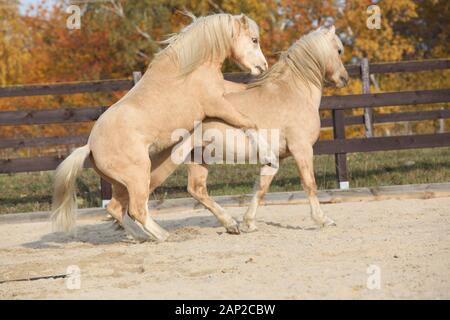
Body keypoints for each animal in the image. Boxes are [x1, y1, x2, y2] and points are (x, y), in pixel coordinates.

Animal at [52, 13, 270, 241]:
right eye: (254, 39)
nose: (263, 67)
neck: (188, 68)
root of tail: (90, 146)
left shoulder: (225, 91)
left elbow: (245, 93)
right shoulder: (218, 104)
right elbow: (248, 123)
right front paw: (266, 153)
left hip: (122, 183)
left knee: (115, 208)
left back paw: (141, 237)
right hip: (139, 176)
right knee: (137, 210)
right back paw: (164, 236)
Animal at [142, 25, 350, 232]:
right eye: (339, 50)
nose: (345, 79)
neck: (294, 92)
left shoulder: (276, 158)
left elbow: (261, 188)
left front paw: (248, 223)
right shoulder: (302, 149)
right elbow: (309, 184)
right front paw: (323, 220)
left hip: (197, 158)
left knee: (196, 190)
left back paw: (230, 224)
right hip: (166, 161)